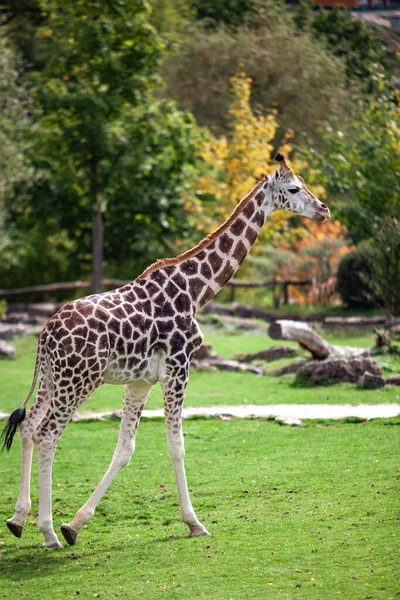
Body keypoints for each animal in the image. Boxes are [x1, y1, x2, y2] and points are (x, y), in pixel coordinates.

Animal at [1, 154, 330, 548]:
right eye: (294, 188)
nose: (324, 210)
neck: (196, 291)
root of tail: (45, 335)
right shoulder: (178, 367)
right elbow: (177, 445)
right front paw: (194, 523)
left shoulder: (140, 380)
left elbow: (125, 449)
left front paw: (77, 524)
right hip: (79, 381)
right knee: (47, 434)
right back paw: (48, 531)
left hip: (53, 379)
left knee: (28, 426)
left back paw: (19, 519)